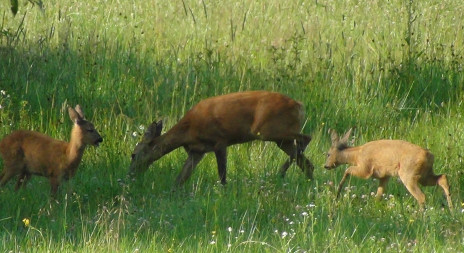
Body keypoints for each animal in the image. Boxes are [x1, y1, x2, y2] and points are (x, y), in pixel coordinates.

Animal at [129, 91, 314, 186]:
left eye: (133, 154)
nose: (130, 174)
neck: (188, 131)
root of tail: (299, 105)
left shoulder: (220, 140)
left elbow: (222, 174)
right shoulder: (196, 151)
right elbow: (181, 178)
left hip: (267, 130)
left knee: (306, 138)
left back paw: (281, 172)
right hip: (280, 138)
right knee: (307, 162)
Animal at [324, 128, 452, 210]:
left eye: (328, 154)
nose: (326, 166)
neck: (357, 155)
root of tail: (430, 155)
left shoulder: (365, 169)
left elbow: (348, 170)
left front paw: (338, 192)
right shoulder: (384, 176)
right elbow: (379, 194)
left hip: (409, 174)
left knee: (421, 196)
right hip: (424, 175)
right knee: (442, 178)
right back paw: (451, 209)